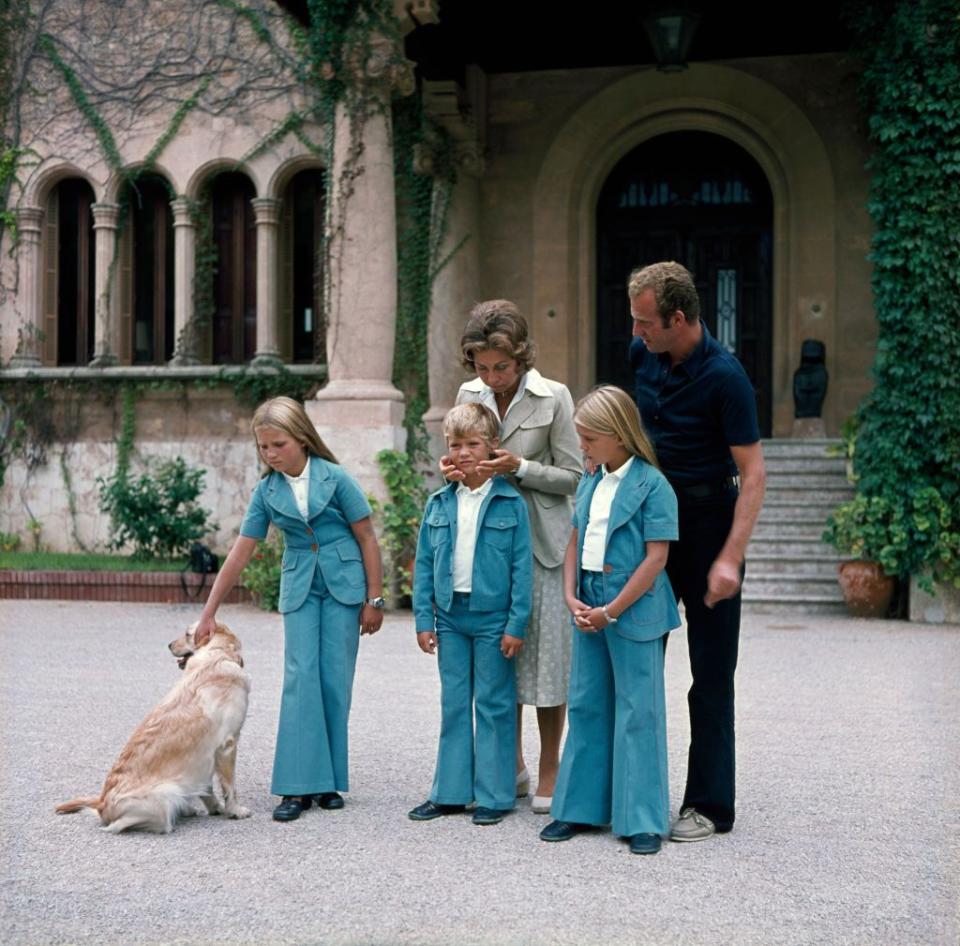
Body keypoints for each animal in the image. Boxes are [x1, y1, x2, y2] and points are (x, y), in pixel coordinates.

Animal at [54, 624, 251, 828]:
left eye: (187, 634)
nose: (169, 645)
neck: (217, 654)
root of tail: (102, 802)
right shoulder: (228, 745)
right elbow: (230, 786)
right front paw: (235, 810)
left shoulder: (204, 759)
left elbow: (207, 788)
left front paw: (216, 808)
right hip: (164, 796)